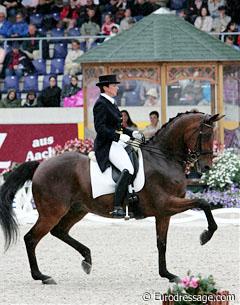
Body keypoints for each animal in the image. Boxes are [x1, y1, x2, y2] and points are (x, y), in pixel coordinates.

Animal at [0, 112, 224, 284]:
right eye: (205, 134)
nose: (206, 167)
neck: (163, 158)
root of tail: (40, 165)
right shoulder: (166, 204)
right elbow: (203, 203)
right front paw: (206, 235)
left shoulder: (164, 212)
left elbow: (161, 243)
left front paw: (167, 274)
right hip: (52, 212)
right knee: (31, 238)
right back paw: (42, 276)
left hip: (78, 209)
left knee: (59, 231)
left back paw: (87, 259)